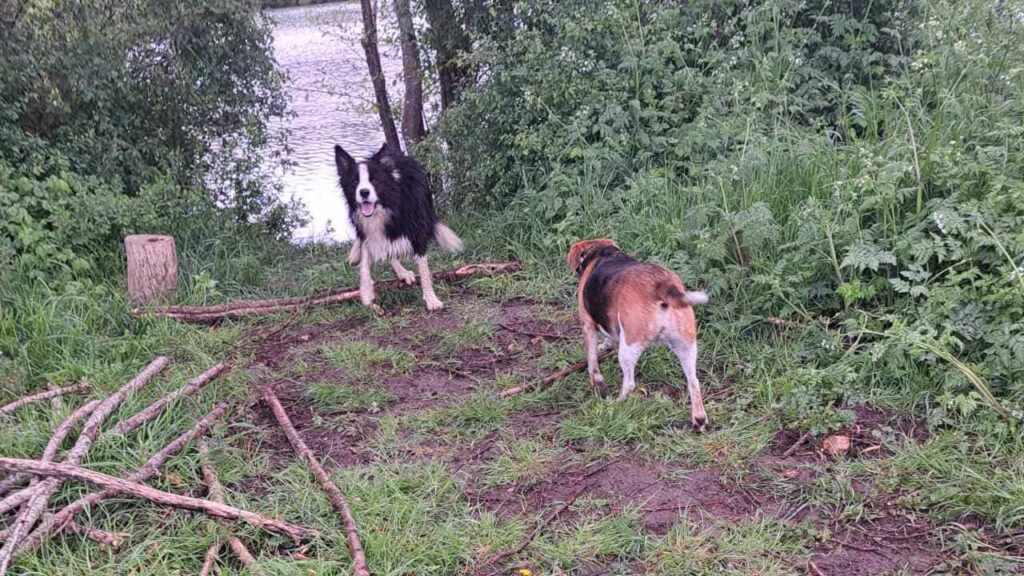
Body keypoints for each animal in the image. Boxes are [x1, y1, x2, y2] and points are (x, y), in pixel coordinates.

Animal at [335, 142, 464, 309]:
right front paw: (366, 292)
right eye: (354, 182)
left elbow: (423, 269)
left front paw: (431, 299)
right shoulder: (367, 228)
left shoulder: (417, 230)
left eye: (374, 180)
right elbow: (365, 262)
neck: (387, 205)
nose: (364, 192)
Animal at [569, 236, 712, 426]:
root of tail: (661, 285)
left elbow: (592, 362)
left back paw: (617, 403)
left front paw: (598, 383)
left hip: (629, 348)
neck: (601, 253)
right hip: (686, 346)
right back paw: (699, 419)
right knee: (693, 382)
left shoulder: (587, 325)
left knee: (629, 383)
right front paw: (606, 345)